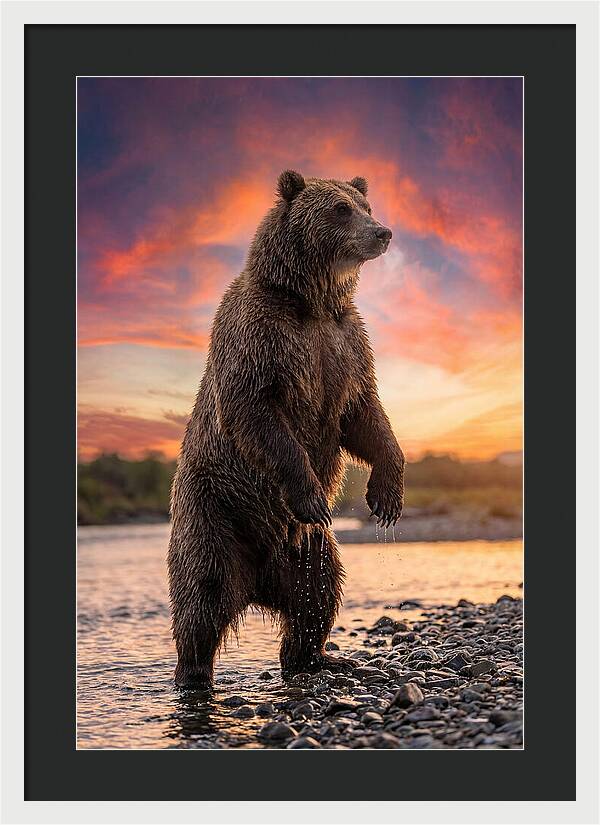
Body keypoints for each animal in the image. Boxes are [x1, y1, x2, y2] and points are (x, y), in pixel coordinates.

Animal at [168, 170, 405, 688]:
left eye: (366, 204)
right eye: (340, 209)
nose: (382, 232)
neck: (311, 302)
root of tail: (257, 582)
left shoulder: (345, 345)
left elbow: (365, 415)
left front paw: (386, 497)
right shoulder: (261, 338)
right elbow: (258, 413)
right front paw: (314, 495)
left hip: (307, 550)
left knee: (318, 592)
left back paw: (318, 656)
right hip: (215, 511)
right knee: (202, 594)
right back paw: (194, 674)